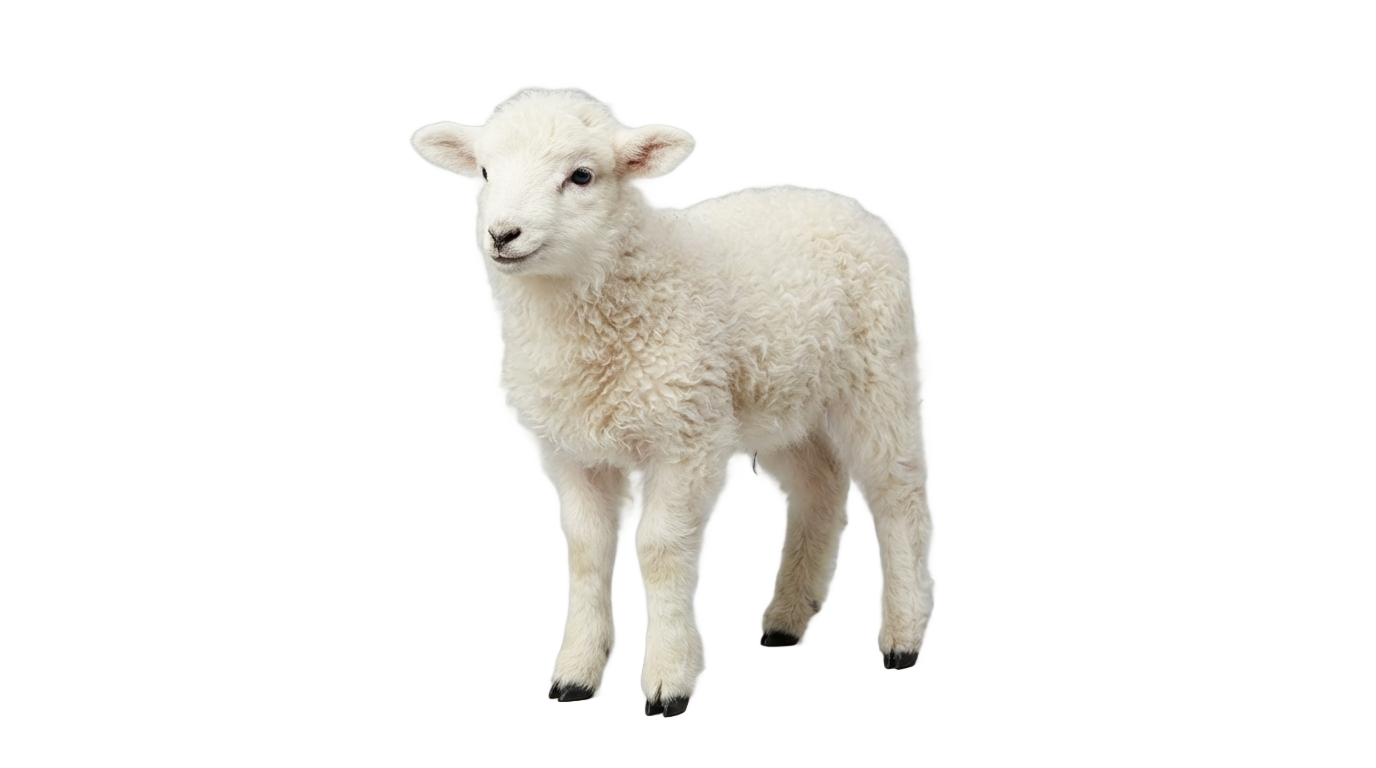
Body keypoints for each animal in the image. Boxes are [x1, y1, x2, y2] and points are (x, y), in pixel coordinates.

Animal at [413, 90, 927, 719]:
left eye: (582, 176)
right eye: (485, 172)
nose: (503, 234)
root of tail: (835, 200)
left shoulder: (686, 435)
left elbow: (657, 550)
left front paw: (667, 679)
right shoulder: (573, 448)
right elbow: (586, 551)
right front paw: (575, 673)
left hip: (875, 372)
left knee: (895, 490)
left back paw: (903, 635)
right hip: (782, 400)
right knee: (821, 484)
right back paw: (786, 617)